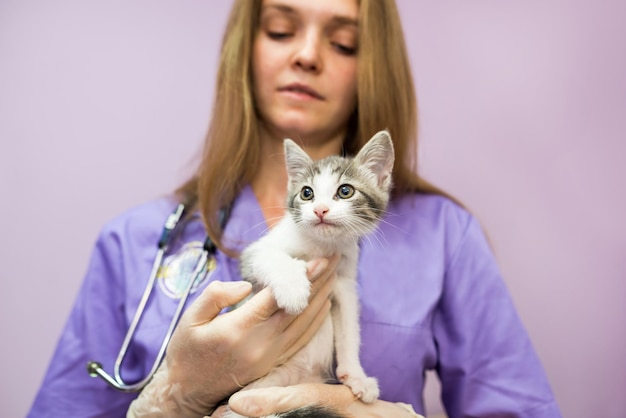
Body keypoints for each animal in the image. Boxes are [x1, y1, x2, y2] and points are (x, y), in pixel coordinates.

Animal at [229, 131, 394, 418]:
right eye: (307, 193)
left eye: (345, 191)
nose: (320, 210)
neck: (321, 246)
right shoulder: (255, 253)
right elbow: (271, 257)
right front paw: (294, 289)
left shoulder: (344, 284)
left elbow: (349, 328)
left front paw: (356, 375)